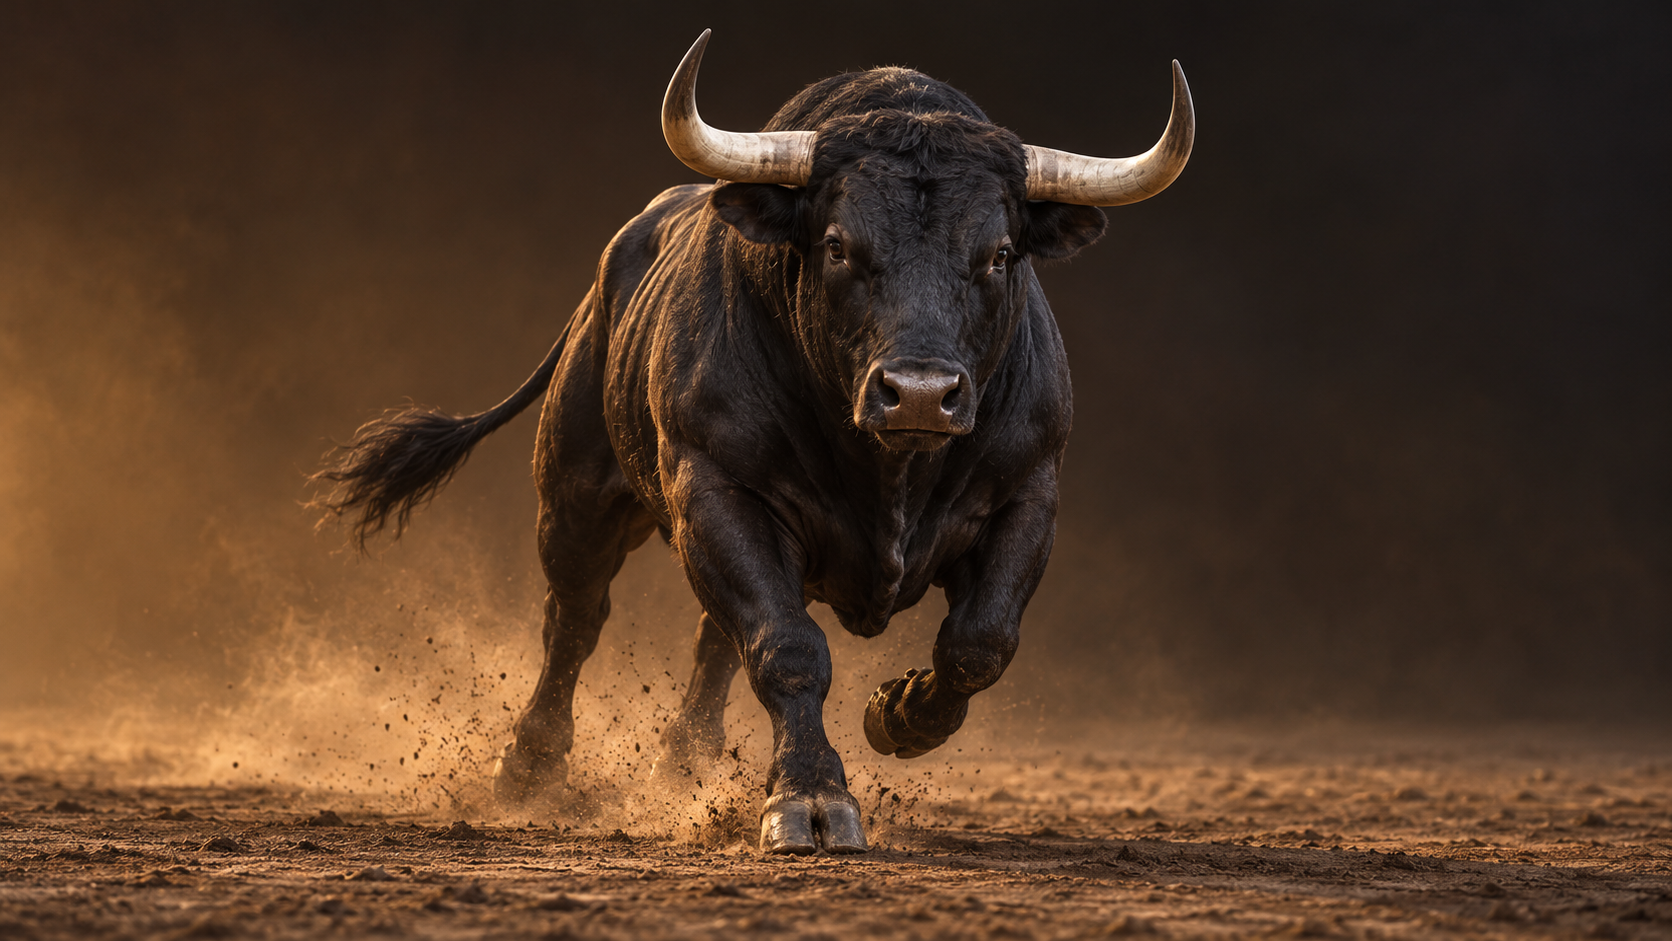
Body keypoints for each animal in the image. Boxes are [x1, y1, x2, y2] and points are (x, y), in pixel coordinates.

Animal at [310, 30, 1192, 855]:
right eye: (837, 244)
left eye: (1000, 253)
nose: (920, 393)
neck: (890, 474)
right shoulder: (718, 490)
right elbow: (787, 647)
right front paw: (810, 800)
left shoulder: (1029, 493)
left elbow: (980, 641)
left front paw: (898, 713)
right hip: (576, 493)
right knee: (576, 618)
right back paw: (529, 768)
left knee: (709, 639)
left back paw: (683, 763)